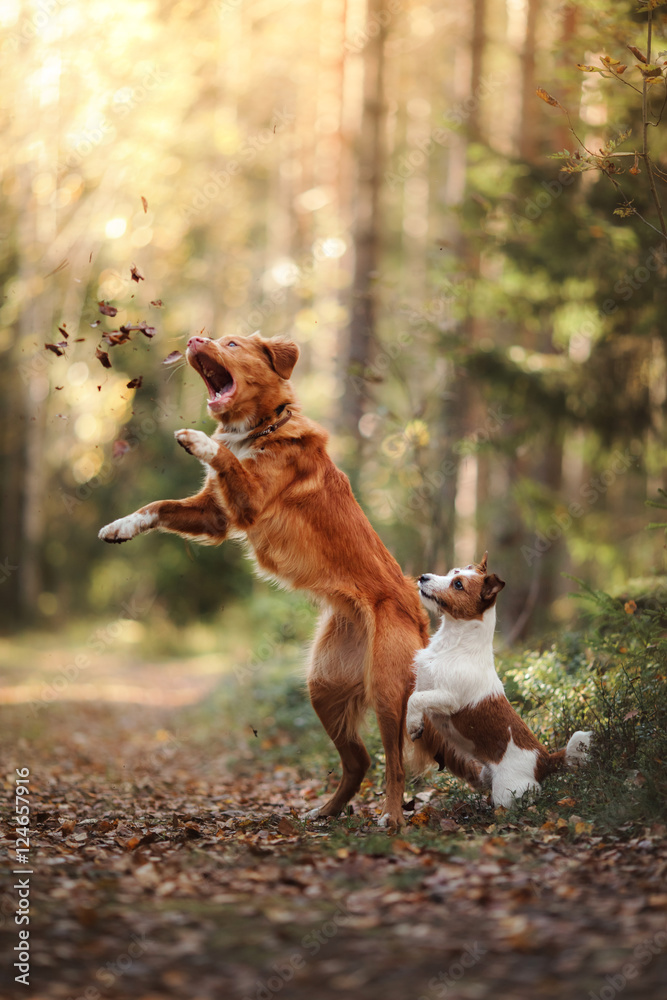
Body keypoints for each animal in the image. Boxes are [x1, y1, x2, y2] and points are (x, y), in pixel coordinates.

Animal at [100, 332, 480, 824]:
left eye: (231, 342)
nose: (195, 338)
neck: (262, 429)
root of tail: (419, 607)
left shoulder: (249, 501)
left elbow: (225, 457)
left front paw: (197, 440)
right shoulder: (215, 516)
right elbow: (159, 505)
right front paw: (121, 526)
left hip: (388, 689)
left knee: (394, 763)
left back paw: (392, 818)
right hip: (322, 685)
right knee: (360, 759)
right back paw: (327, 811)